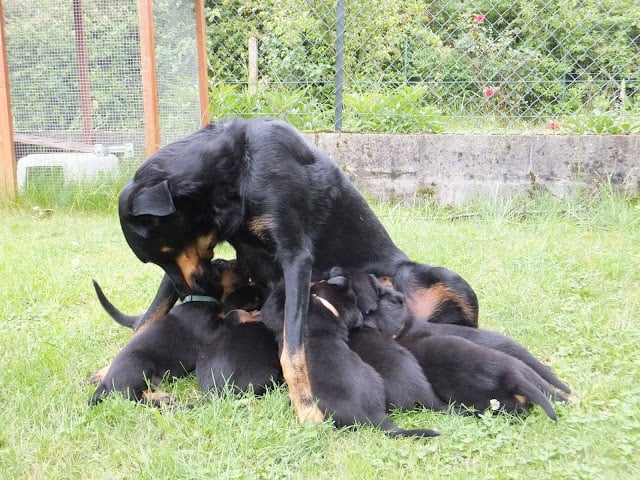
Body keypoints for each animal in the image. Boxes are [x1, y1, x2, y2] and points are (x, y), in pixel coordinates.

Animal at [117, 116, 478, 424]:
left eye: (164, 251)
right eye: (157, 259)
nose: (192, 293)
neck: (239, 170)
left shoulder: (295, 257)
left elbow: (292, 352)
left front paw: (306, 407)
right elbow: (149, 317)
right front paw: (112, 372)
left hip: (448, 281)